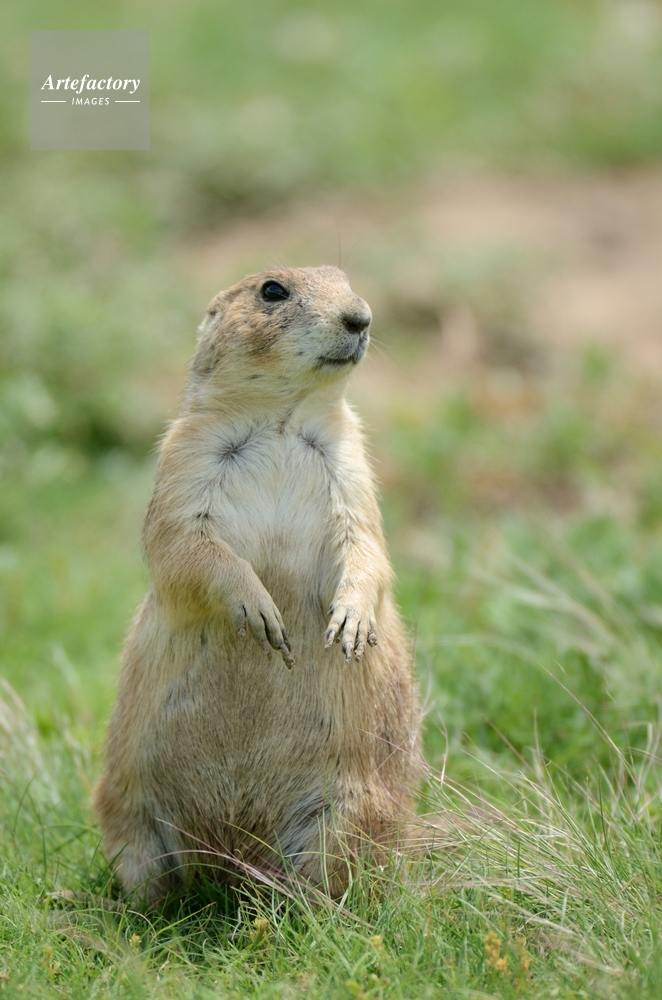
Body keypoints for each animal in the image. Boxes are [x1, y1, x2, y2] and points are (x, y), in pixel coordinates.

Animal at [94, 266, 422, 903]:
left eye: (345, 278)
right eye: (272, 290)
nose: (361, 317)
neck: (282, 419)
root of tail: (232, 863)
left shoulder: (352, 470)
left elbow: (367, 546)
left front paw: (351, 623)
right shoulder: (183, 463)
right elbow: (184, 547)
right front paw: (260, 608)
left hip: (349, 815)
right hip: (125, 806)